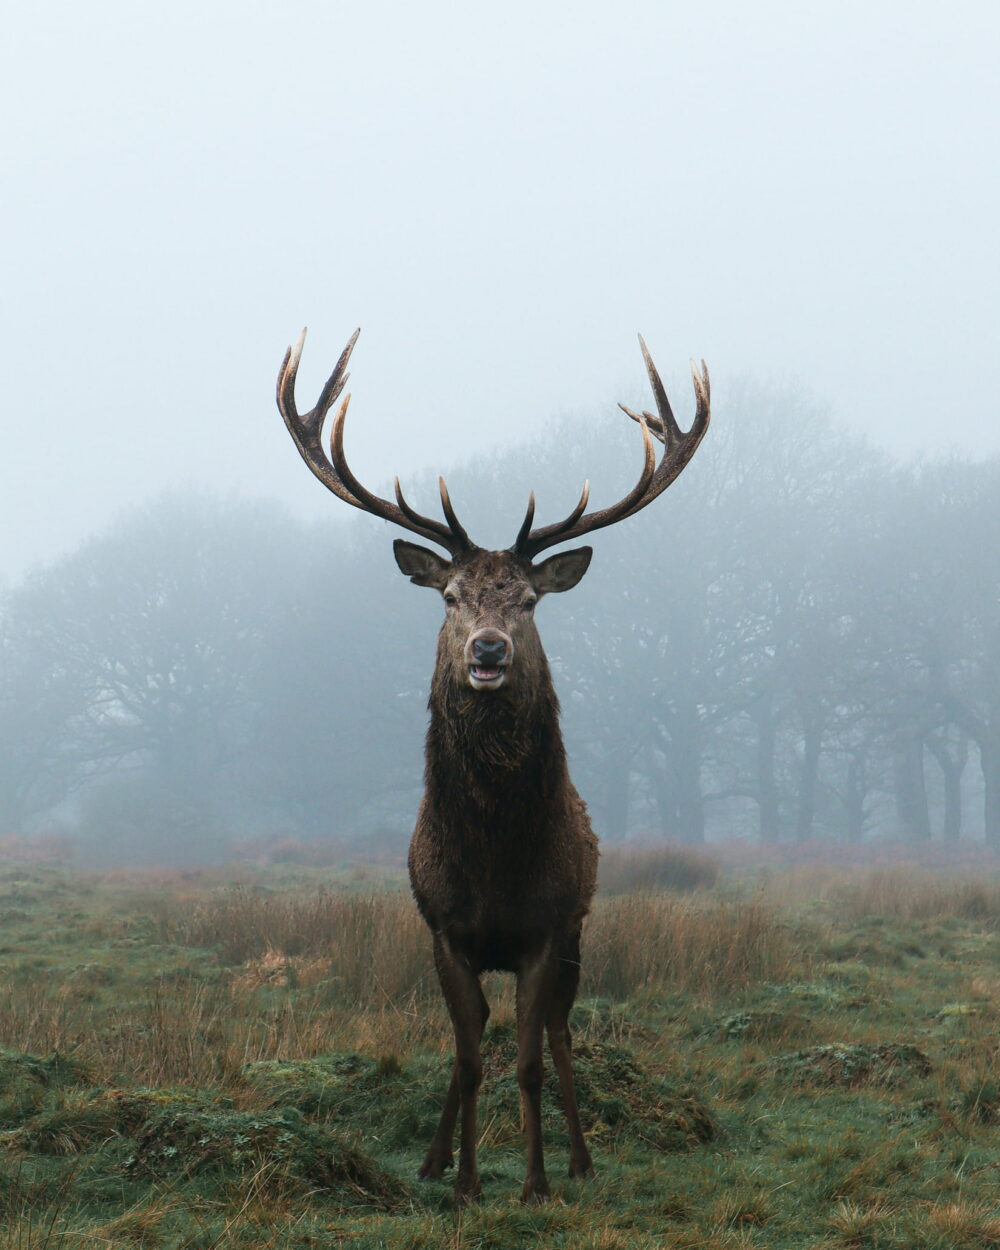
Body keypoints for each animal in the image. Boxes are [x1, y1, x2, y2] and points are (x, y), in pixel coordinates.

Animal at [276, 328, 710, 1205]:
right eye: (449, 597)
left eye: (529, 601)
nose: (487, 651)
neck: (495, 860)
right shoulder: (445, 930)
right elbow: (472, 1057)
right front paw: (466, 1182)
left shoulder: (547, 928)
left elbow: (531, 1061)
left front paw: (537, 1180)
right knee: (470, 1039)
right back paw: (435, 1158)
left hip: (579, 933)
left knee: (562, 1033)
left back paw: (579, 1159)